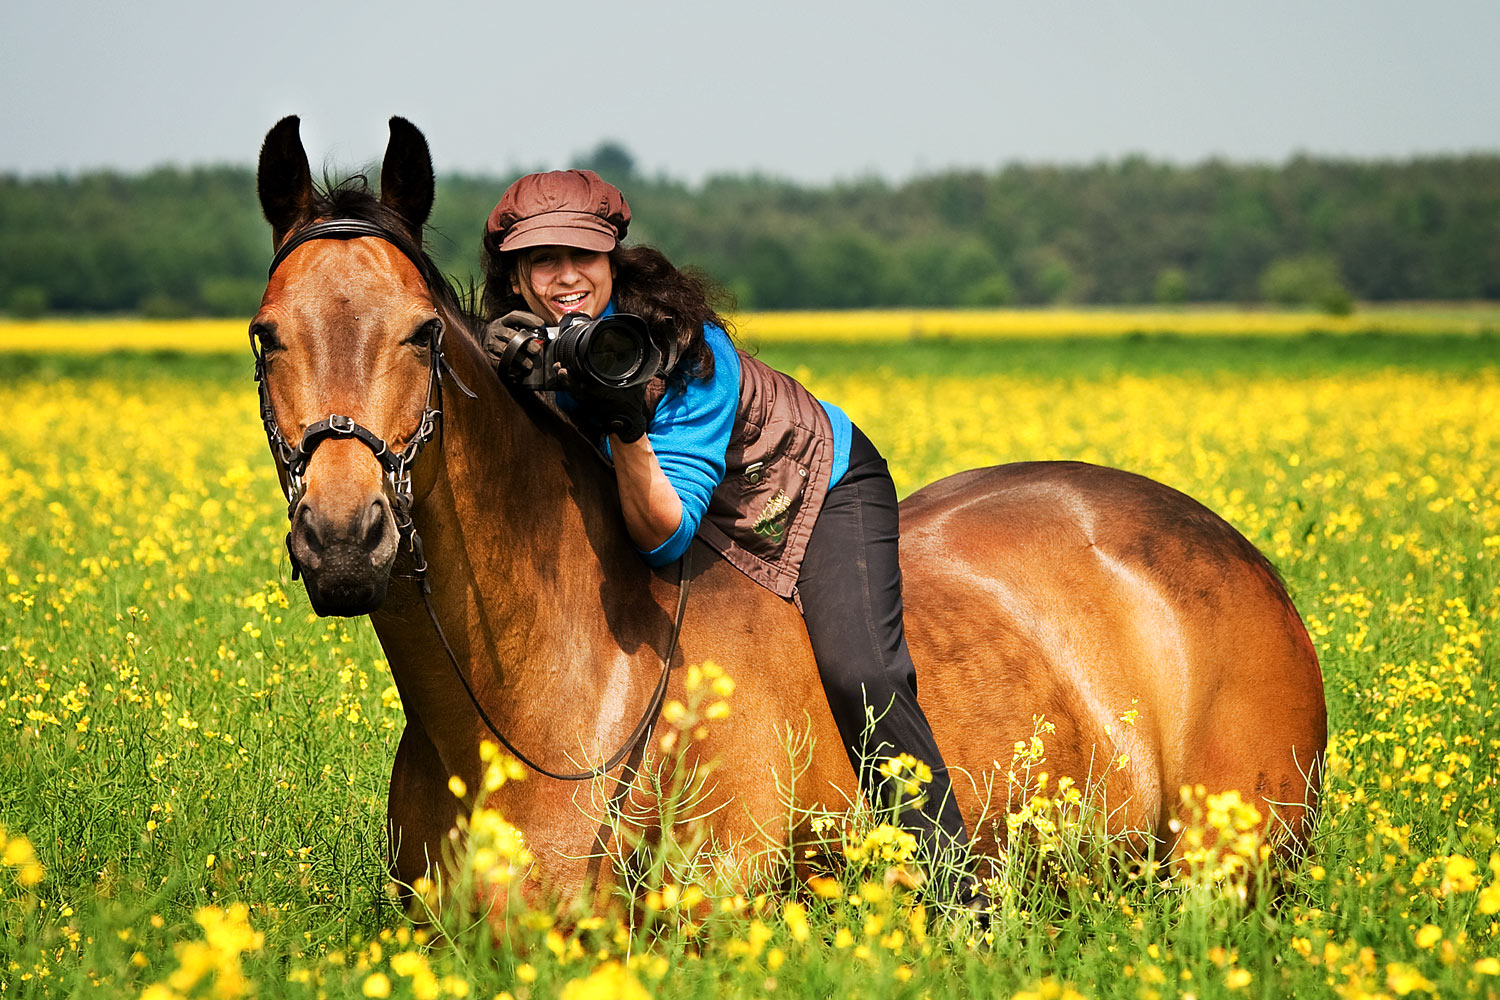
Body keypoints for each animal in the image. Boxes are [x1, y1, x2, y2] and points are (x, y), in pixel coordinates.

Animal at [255, 115, 1326, 905]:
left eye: (424, 333)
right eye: (265, 335)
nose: (345, 540)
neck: (543, 705)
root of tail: (1236, 551)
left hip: (1232, 875)